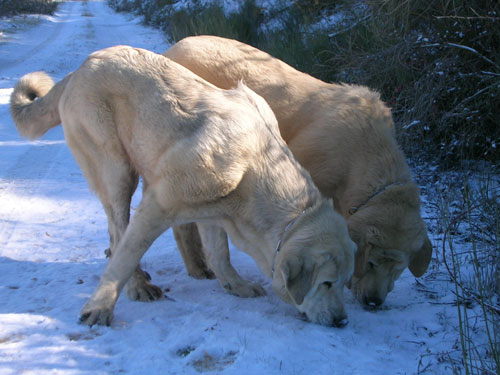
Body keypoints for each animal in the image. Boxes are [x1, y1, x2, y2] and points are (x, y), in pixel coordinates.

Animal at [10, 45, 356, 328]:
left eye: (344, 283)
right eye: (326, 283)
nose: (342, 320)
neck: (256, 166)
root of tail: (80, 68)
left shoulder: (214, 211)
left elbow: (219, 253)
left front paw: (235, 285)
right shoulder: (157, 204)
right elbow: (124, 259)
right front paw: (99, 307)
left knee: (114, 232)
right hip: (116, 171)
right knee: (119, 229)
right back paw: (138, 285)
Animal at [165, 35, 434, 308]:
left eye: (398, 269)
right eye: (370, 263)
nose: (373, 302)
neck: (366, 154)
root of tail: (177, 45)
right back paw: (197, 266)